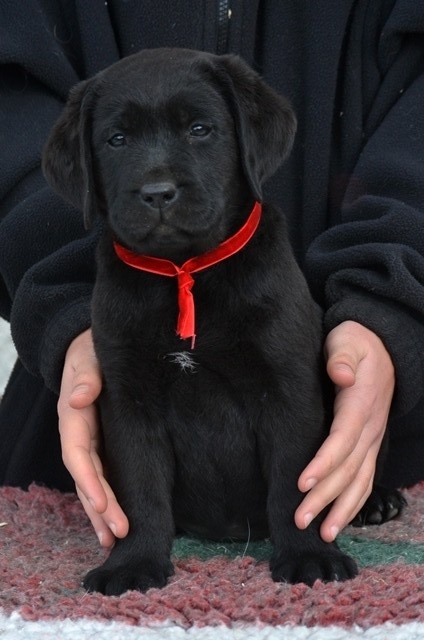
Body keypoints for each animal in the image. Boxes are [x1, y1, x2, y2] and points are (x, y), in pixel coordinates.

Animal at [41, 48, 396, 596]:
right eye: (116, 139)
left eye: (200, 129)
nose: (157, 193)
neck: (184, 273)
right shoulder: (129, 398)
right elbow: (140, 490)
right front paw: (133, 563)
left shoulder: (286, 388)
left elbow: (298, 486)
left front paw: (308, 555)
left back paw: (377, 499)